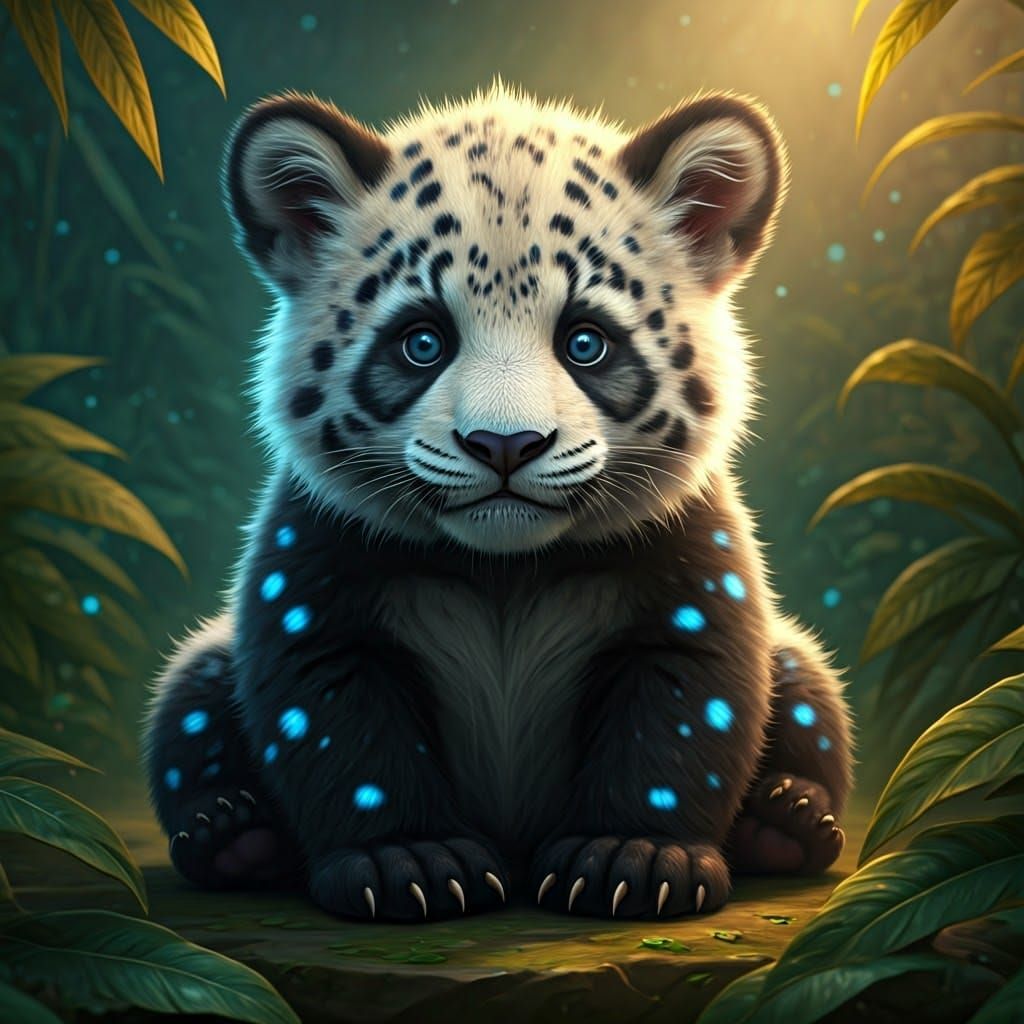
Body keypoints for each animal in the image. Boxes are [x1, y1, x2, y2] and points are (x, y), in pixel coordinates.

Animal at [143, 82, 852, 922]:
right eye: (422, 342)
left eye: (586, 342)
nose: (505, 445)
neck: (505, 568)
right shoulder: (314, 550)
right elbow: (335, 711)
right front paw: (408, 861)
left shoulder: (691, 550)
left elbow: (685, 702)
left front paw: (633, 857)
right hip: (206, 659)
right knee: (191, 698)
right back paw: (236, 836)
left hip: (795, 655)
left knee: (805, 689)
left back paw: (787, 822)